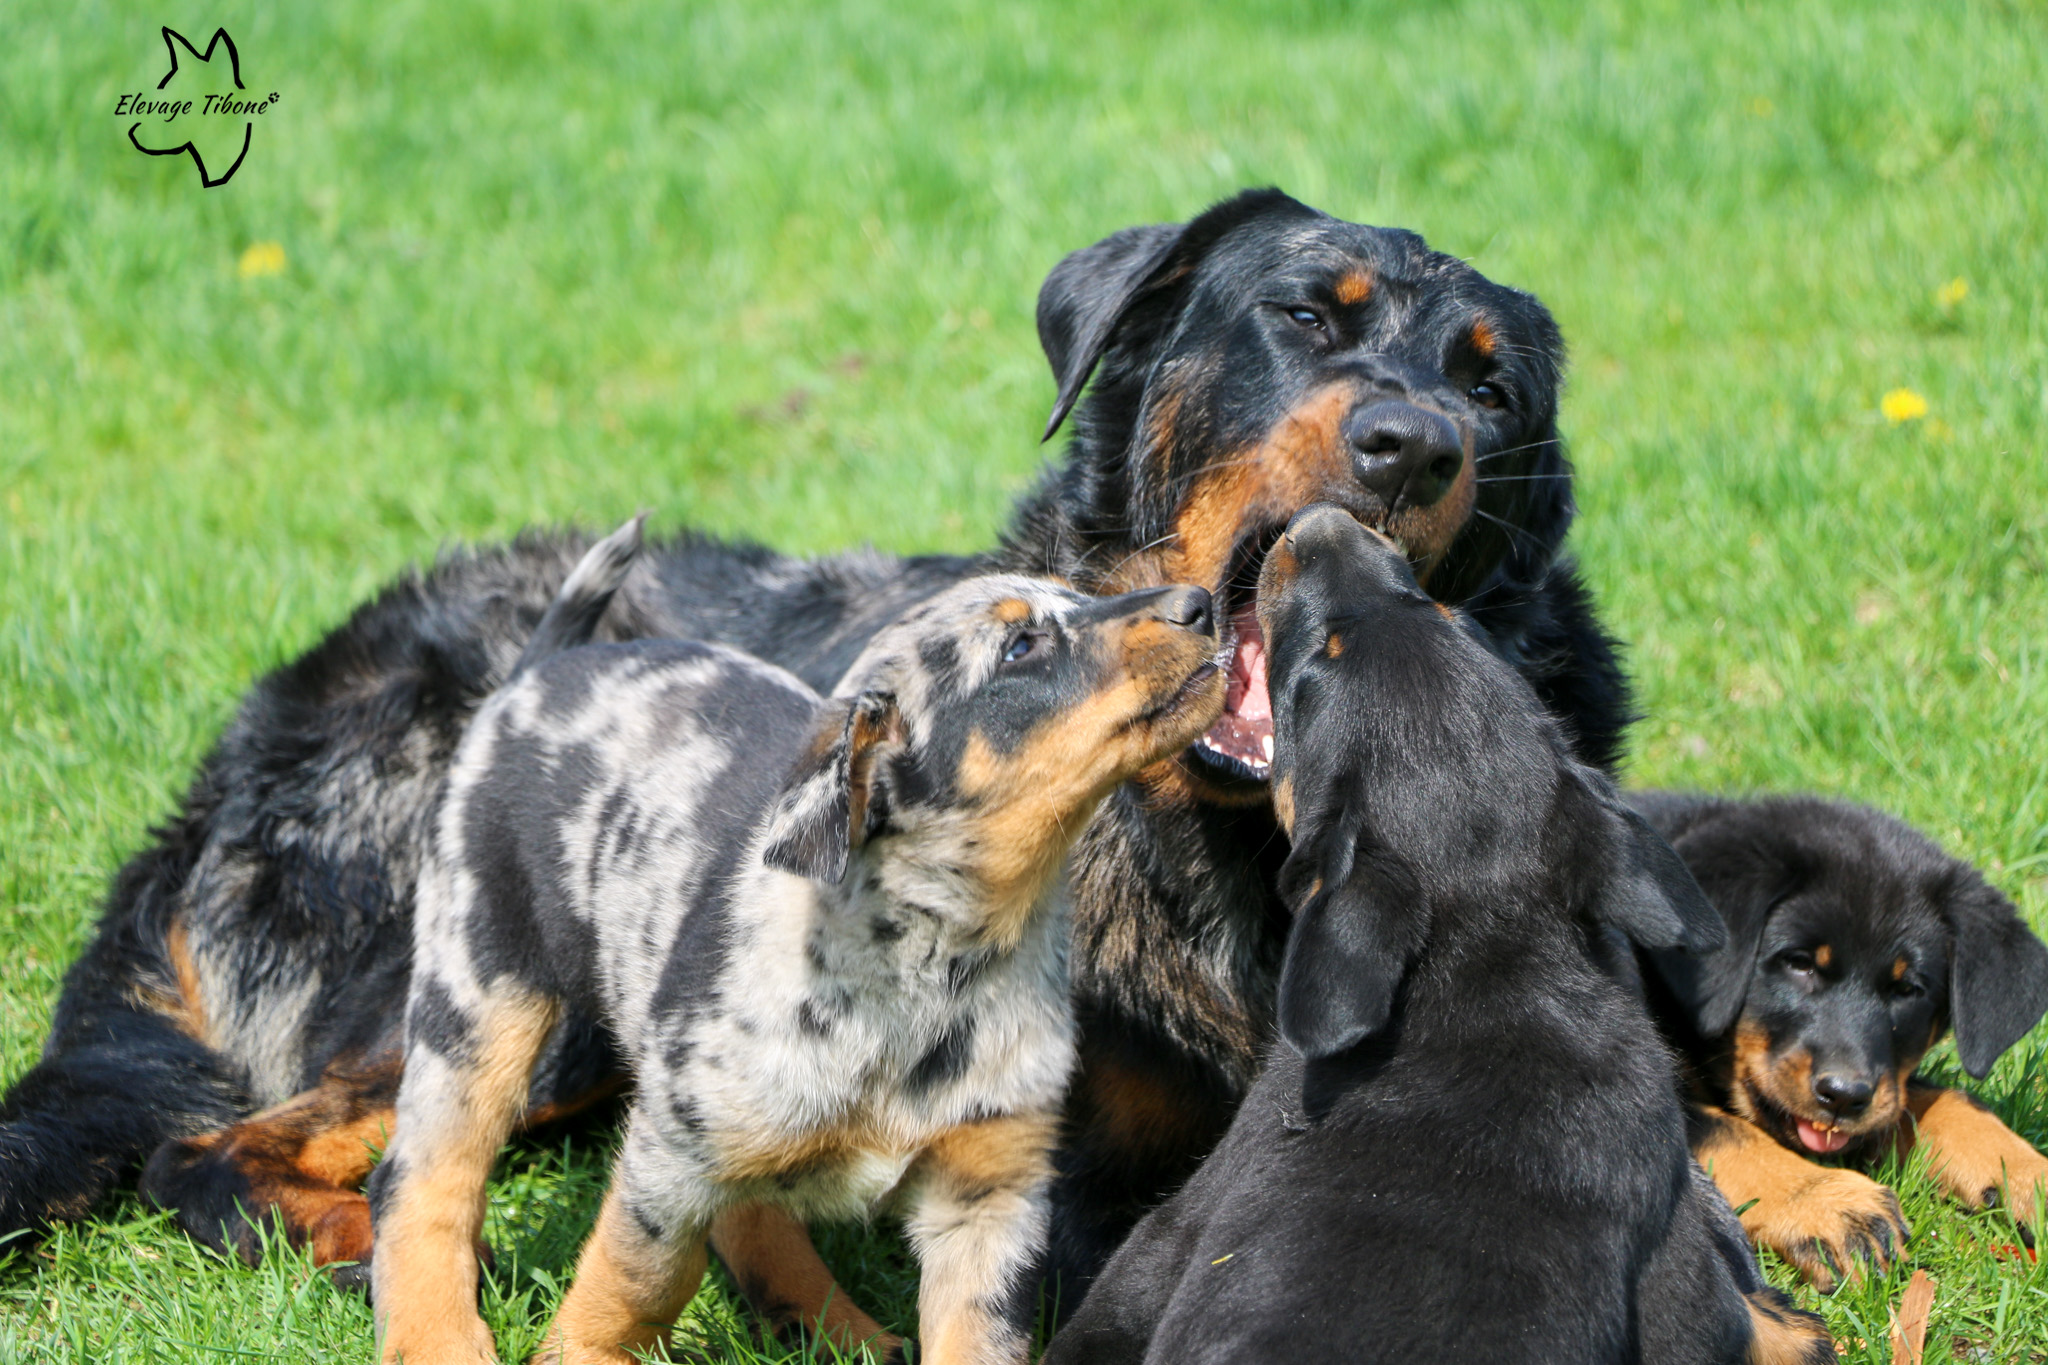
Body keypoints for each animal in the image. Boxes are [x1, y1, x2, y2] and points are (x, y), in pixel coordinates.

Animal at [368, 556, 1220, 1365]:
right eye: (1021, 645)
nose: (1202, 602)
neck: (941, 962)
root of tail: (534, 672)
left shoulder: (991, 1195)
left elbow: (976, 1338)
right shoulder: (668, 1155)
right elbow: (641, 1277)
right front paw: (584, 1353)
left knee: (749, 1212)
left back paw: (832, 1326)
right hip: (478, 994)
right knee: (419, 1178)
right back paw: (436, 1337)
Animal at [1638, 789, 2048, 1293]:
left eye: (1908, 990)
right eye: (1798, 962)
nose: (1842, 1097)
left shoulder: (1884, 1088)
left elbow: (1942, 1099)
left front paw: (2028, 1173)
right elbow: (1724, 1129)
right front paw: (1827, 1203)